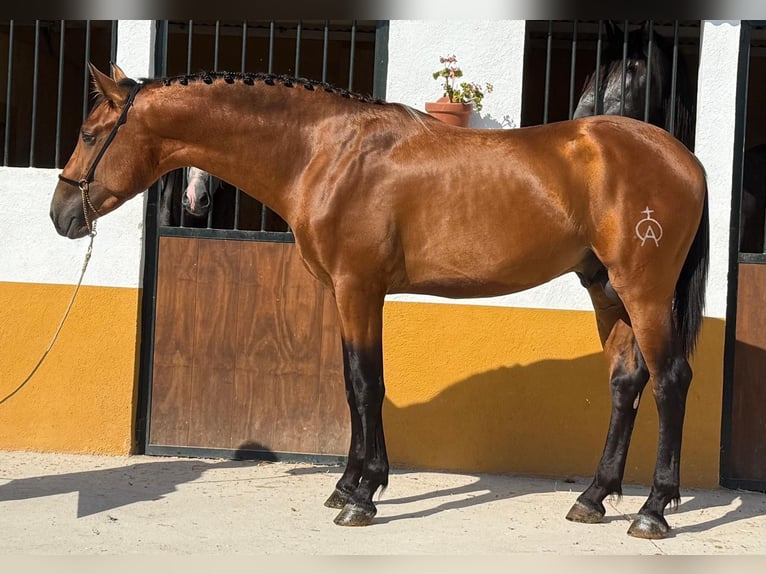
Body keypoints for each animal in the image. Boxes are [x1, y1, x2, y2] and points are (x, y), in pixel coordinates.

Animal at [51, 63, 709, 540]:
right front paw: (347, 485)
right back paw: (593, 498)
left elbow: (367, 384)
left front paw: (362, 497)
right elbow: (351, 383)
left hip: (644, 290)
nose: (61, 216)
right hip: (605, 289)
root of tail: (685, 158)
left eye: (88, 134)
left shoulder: (358, 288)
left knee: (671, 379)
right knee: (626, 381)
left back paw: (652, 511)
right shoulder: (347, 294)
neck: (325, 153)